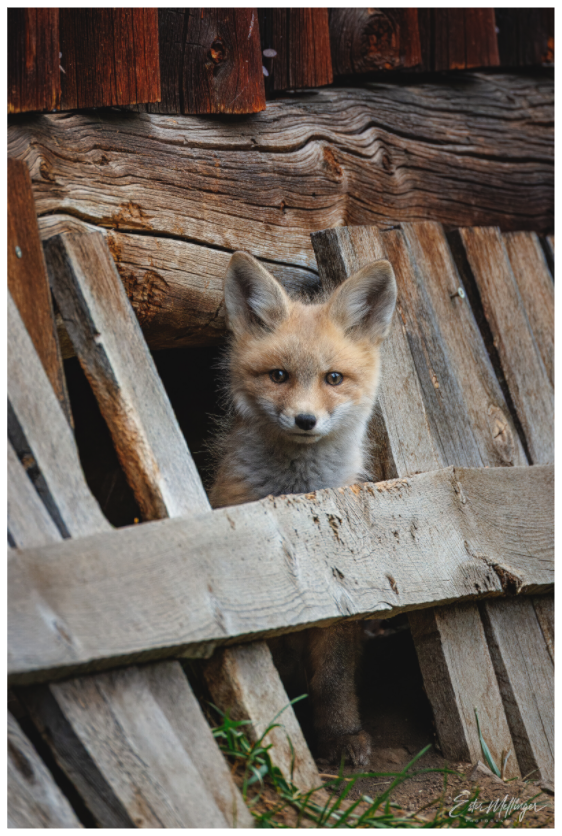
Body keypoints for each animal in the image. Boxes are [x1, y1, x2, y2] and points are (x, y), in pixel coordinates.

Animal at [209, 250, 397, 766]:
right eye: (279, 376)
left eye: (333, 378)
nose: (305, 420)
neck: (295, 499)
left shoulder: (342, 586)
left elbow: (333, 678)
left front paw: (340, 734)